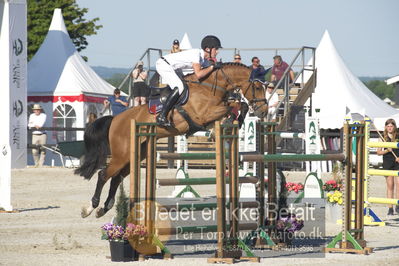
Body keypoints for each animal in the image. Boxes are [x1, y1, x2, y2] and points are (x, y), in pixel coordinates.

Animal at [75, 62, 268, 218]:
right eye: (258, 87)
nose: (263, 111)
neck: (210, 86)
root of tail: (115, 119)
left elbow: (238, 105)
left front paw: (234, 121)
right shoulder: (203, 115)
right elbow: (233, 105)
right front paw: (232, 120)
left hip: (136, 154)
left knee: (116, 178)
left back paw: (105, 208)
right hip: (121, 154)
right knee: (103, 174)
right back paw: (90, 208)